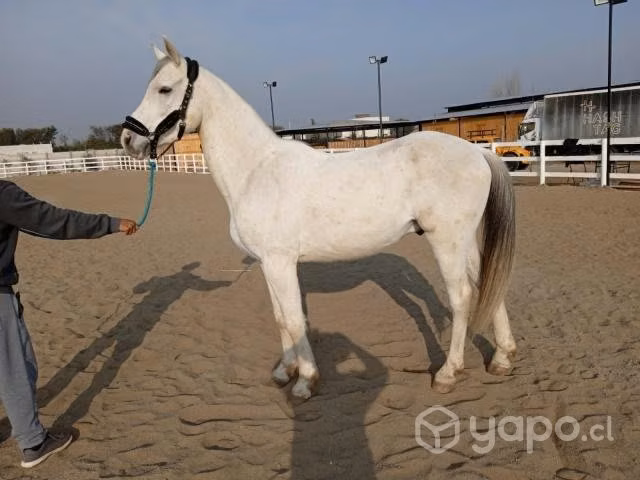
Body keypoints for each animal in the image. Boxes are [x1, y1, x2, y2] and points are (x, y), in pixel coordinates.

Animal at [121, 37, 517, 400]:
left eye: (164, 89)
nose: (127, 140)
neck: (256, 169)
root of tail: (478, 154)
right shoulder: (269, 264)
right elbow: (281, 317)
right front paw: (285, 371)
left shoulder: (281, 262)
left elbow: (295, 320)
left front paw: (306, 381)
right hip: (463, 241)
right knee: (488, 282)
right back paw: (502, 358)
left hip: (446, 241)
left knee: (462, 296)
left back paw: (448, 373)